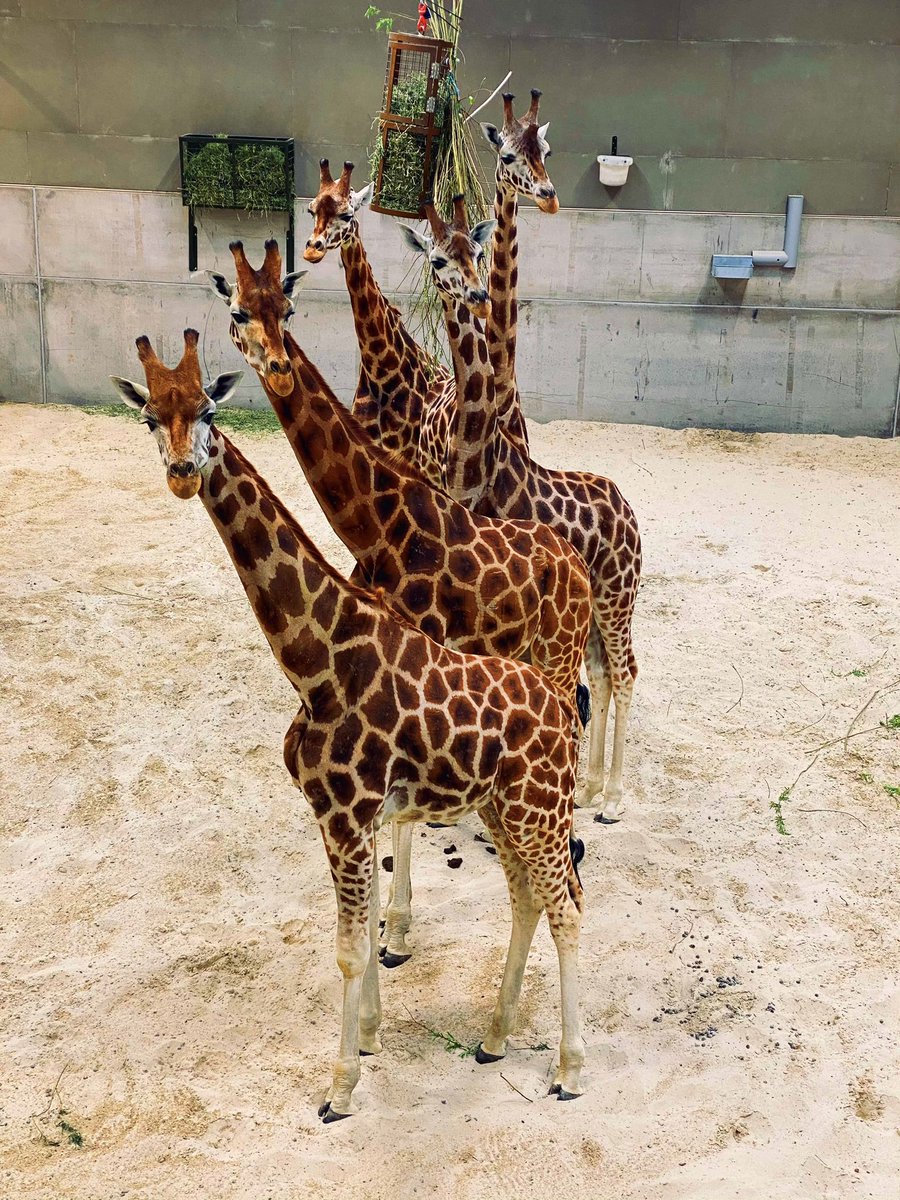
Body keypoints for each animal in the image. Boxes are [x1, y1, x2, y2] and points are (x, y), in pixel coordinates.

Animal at [110, 329, 587, 1119]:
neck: (317, 664)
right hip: (503, 807)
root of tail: (554, 703)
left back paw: (570, 1071)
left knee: (569, 908)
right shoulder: (339, 817)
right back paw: (494, 1036)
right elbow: (356, 938)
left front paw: (340, 1086)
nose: (182, 472)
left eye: (209, 409)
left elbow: (349, 947)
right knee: (525, 897)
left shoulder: (348, 811)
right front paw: (367, 1037)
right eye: (150, 417)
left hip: (540, 808)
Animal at [208, 238, 592, 966]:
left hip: (557, 649)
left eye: (287, 308)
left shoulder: (410, 659)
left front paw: (396, 926)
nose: (277, 368)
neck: (384, 527)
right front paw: (395, 920)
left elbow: (398, 817)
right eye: (238, 311)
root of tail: (576, 562)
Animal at [402, 198, 641, 824]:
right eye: (438, 258)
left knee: (626, 671)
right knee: (602, 674)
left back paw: (612, 799)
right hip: (592, 610)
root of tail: (630, 512)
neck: (475, 458)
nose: (475, 294)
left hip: (616, 598)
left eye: (477, 250)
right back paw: (587, 789)